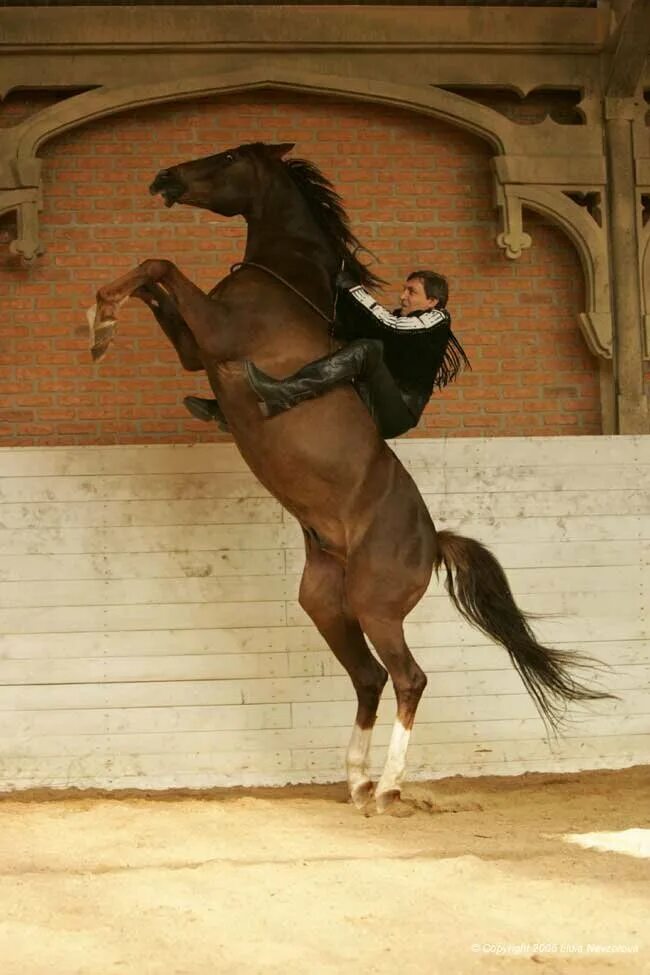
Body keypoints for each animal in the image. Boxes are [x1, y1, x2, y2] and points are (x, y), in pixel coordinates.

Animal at [88, 141, 612, 812]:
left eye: (229, 156)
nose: (164, 178)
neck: (285, 281)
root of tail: (433, 541)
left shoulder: (216, 332)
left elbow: (160, 264)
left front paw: (99, 319)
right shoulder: (192, 347)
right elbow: (157, 284)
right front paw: (103, 321)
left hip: (375, 607)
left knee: (407, 677)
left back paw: (387, 787)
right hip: (325, 603)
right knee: (368, 677)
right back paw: (357, 779)